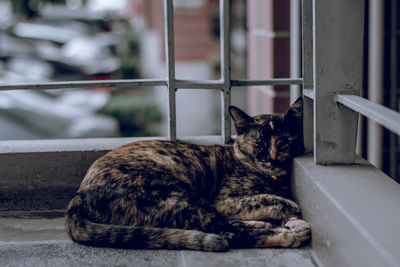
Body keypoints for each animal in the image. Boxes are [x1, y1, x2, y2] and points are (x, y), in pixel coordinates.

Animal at [65, 97, 310, 252]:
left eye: (284, 142)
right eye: (260, 144)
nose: (273, 159)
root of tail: (79, 194)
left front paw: (294, 220)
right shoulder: (224, 201)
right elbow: (265, 199)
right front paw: (290, 210)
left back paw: (274, 226)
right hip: (176, 196)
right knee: (222, 230)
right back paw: (285, 235)